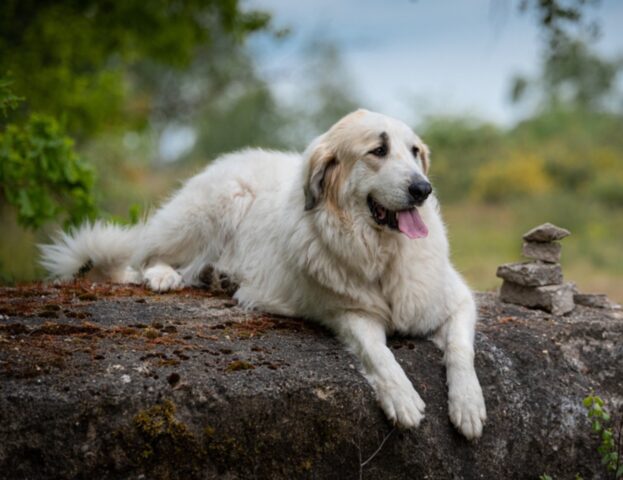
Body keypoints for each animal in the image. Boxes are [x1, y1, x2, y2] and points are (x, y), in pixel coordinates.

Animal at [40, 109, 488, 438]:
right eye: (378, 150)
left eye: (414, 152)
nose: (423, 189)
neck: (381, 251)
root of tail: (232, 159)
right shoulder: (350, 314)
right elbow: (379, 355)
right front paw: (402, 397)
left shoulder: (456, 300)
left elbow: (461, 351)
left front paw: (468, 405)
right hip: (213, 206)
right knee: (145, 257)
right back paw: (165, 276)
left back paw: (219, 278)